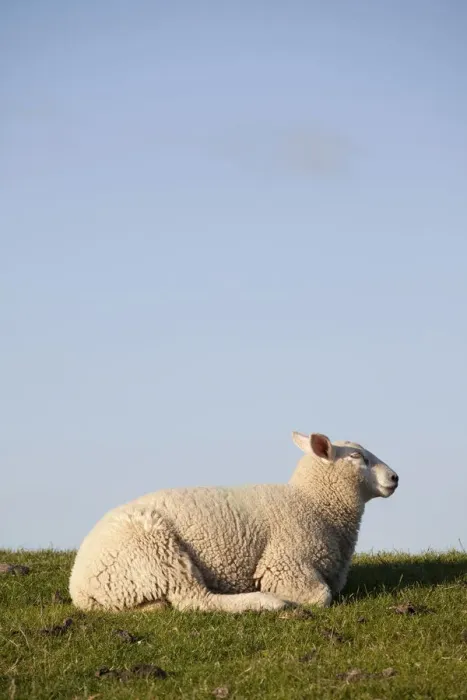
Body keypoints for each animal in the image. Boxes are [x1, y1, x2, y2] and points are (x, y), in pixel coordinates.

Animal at [69, 432, 399, 613]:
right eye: (358, 457)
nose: (395, 477)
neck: (313, 504)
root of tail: (79, 585)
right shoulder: (284, 563)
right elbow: (321, 596)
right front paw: (284, 598)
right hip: (158, 552)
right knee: (196, 600)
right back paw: (266, 602)